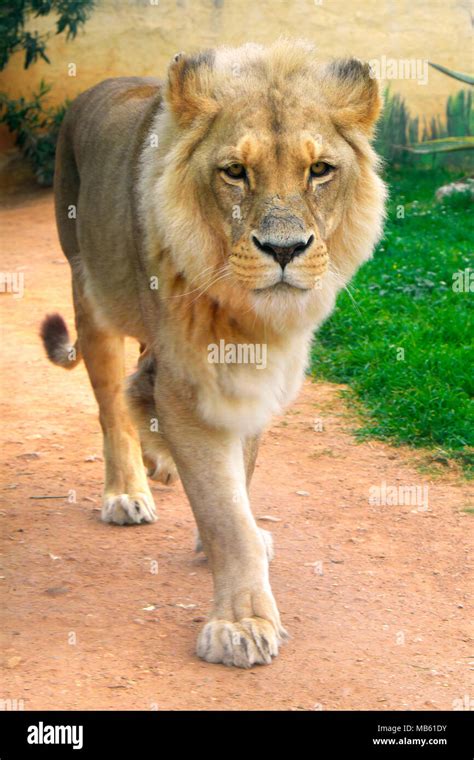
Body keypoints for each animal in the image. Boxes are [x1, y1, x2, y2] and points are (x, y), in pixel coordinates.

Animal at [40, 38, 386, 668]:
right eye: (235, 172)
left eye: (319, 170)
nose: (284, 250)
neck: (247, 317)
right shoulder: (188, 386)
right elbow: (227, 515)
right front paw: (241, 623)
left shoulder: (251, 379)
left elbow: (239, 482)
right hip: (88, 292)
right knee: (111, 407)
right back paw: (127, 491)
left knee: (137, 385)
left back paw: (158, 461)